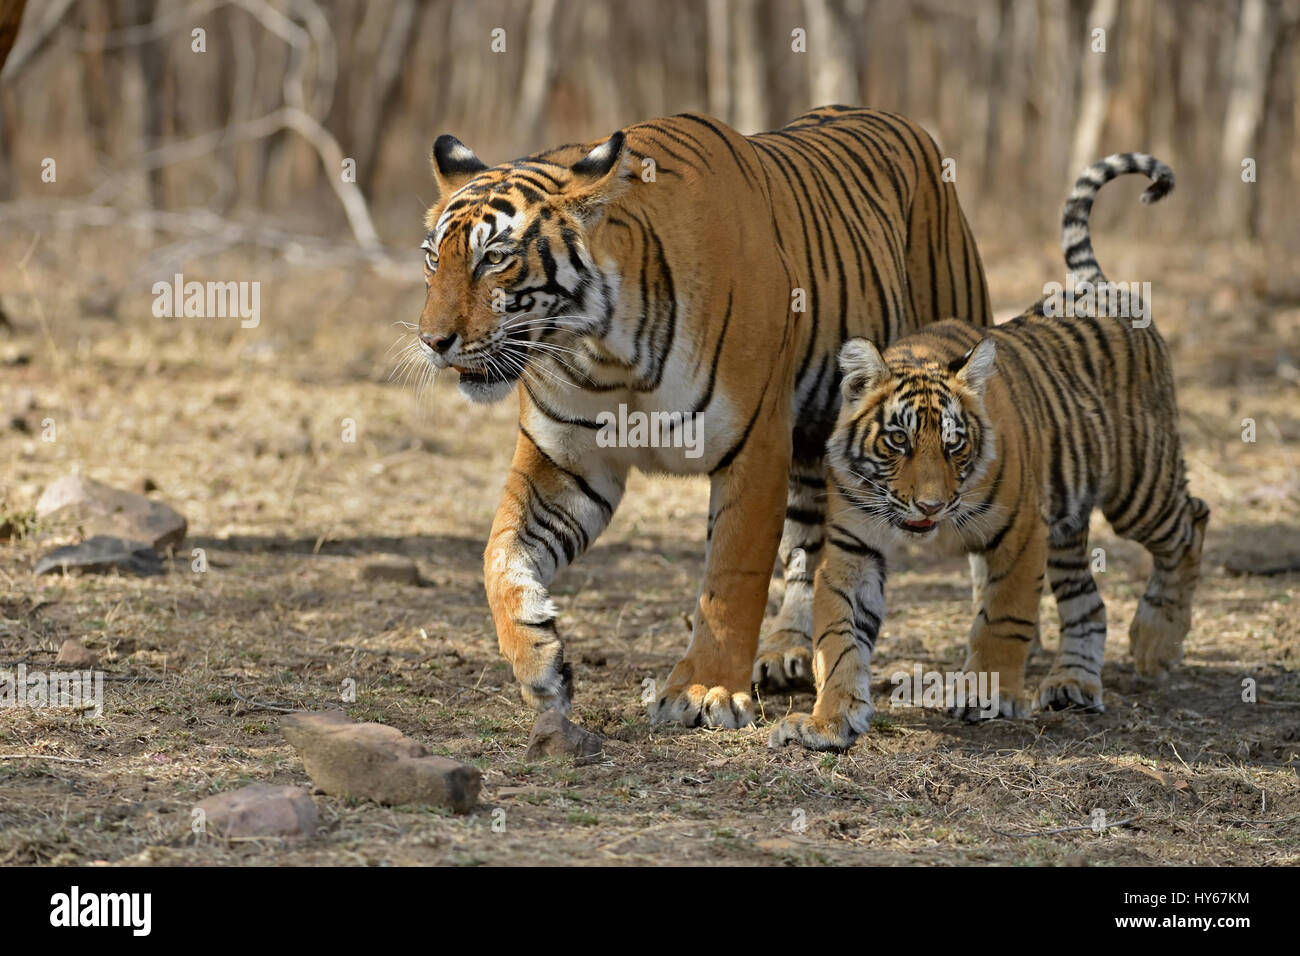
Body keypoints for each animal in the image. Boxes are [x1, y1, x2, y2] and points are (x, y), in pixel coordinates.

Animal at [421, 106, 987, 723]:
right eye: (432, 257)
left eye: (494, 258)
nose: (432, 341)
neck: (603, 350)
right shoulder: (567, 460)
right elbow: (500, 554)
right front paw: (541, 663)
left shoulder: (755, 445)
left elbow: (731, 578)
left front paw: (704, 689)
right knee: (813, 541)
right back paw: (789, 651)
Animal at [769, 153, 1206, 749]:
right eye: (898, 440)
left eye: (955, 445)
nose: (929, 507)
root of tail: (1104, 289)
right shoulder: (852, 547)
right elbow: (838, 637)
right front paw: (828, 720)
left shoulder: (1019, 535)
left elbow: (1002, 619)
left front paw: (983, 695)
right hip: (1067, 518)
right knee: (1088, 601)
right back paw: (1072, 683)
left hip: (1139, 488)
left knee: (1192, 521)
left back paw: (1156, 640)